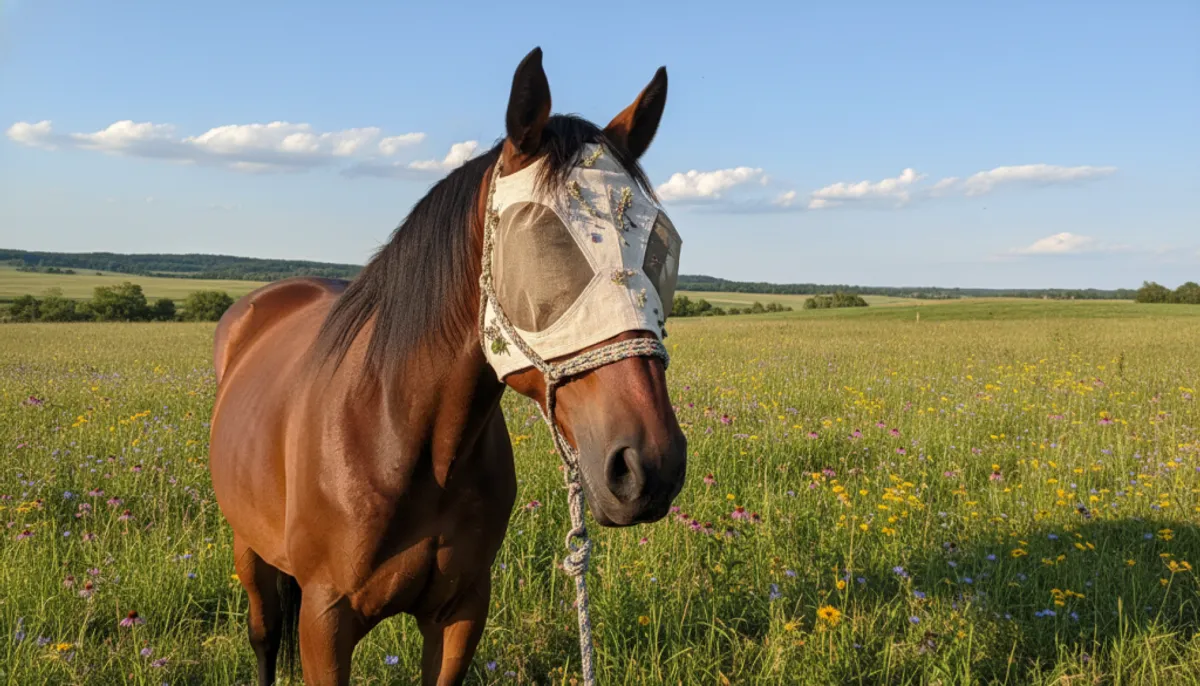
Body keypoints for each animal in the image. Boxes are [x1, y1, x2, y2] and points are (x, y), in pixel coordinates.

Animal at [208, 47, 687, 685]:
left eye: (663, 242)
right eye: (541, 241)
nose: (649, 466)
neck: (397, 431)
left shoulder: (462, 610)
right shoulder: (323, 620)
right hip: (250, 550)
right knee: (262, 638)